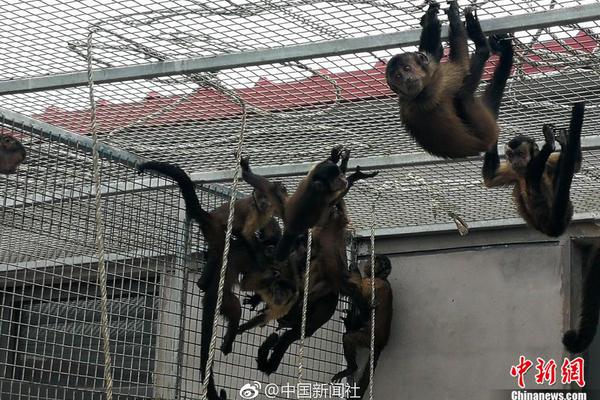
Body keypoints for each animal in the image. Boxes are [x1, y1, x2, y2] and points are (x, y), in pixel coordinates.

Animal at [328, 255, 394, 398]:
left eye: (380, 262)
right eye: (376, 259)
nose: (371, 262)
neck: (381, 278)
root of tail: (381, 343)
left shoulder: (372, 282)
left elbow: (357, 293)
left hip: (367, 338)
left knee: (350, 335)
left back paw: (352, 368)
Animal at [386, 1, 512, 158]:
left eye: (406, 68)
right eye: (398, 77)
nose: (406, 79)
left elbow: (435, 52)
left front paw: (430, 18)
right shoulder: (437, 82)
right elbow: (461, 66)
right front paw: (454, 17)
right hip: (486, 127)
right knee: (463, 96)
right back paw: (481, 44)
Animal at [480, 101, 584, 238]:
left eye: (520, 154)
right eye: (511, 155)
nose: (515, 160)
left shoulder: (547, 160)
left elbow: (576, 166)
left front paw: (550, 144)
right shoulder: (513, 169)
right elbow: (490, 178)